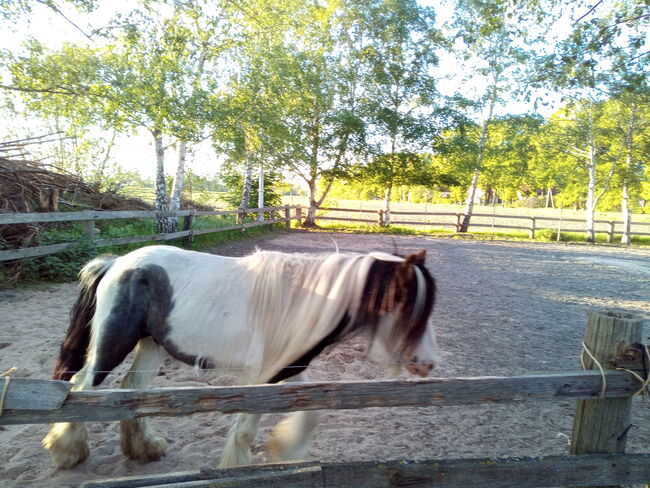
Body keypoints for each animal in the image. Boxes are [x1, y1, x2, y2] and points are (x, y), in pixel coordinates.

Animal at [40, 244, 438, 468]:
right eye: (408, 307)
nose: (428, 363)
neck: (301, 303)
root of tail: (118, 263)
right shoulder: (261, 377)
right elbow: (246, 430)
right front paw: (237, 467)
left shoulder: (287, 368)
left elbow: (312, 413)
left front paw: (285, 450)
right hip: (113, 344)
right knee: (84, 388)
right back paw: (66, 452)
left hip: (151, 345)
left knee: (133, 390)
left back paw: (144, 450)